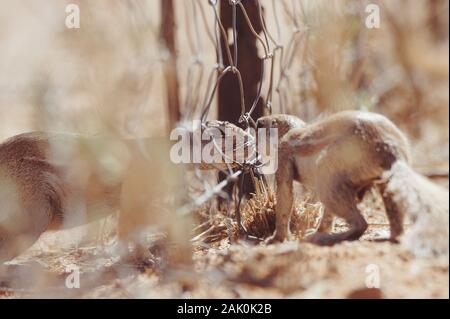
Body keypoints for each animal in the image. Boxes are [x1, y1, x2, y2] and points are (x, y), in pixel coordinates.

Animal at [255, 111, 448, 251]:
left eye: (260, 125)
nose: (255, 121)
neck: (292, 130)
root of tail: (390, 149)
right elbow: (326, 215)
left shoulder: (284, 153)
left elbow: (284, 197)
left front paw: (276, 239)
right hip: (383, 181)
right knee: (395, 222)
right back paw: (385, 234)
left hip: (330, 168)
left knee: (360, 223)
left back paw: (324, 238)